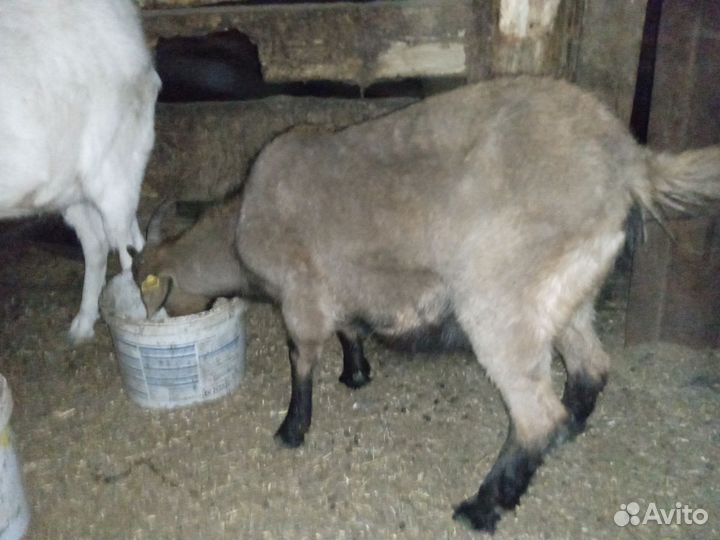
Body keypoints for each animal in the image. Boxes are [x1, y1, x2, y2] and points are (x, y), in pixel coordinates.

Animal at [135, 77, 720, 531]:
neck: (240, 224)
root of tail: (627, 161)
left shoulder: (301, 295)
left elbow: (301, 359)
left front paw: (292, 430)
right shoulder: (344, 285)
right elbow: (350, 329)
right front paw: (355, 374)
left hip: (502, 299)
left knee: (535, 414)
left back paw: (484, 507)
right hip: (568, 295)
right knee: (590, 366)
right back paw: (563, 439)